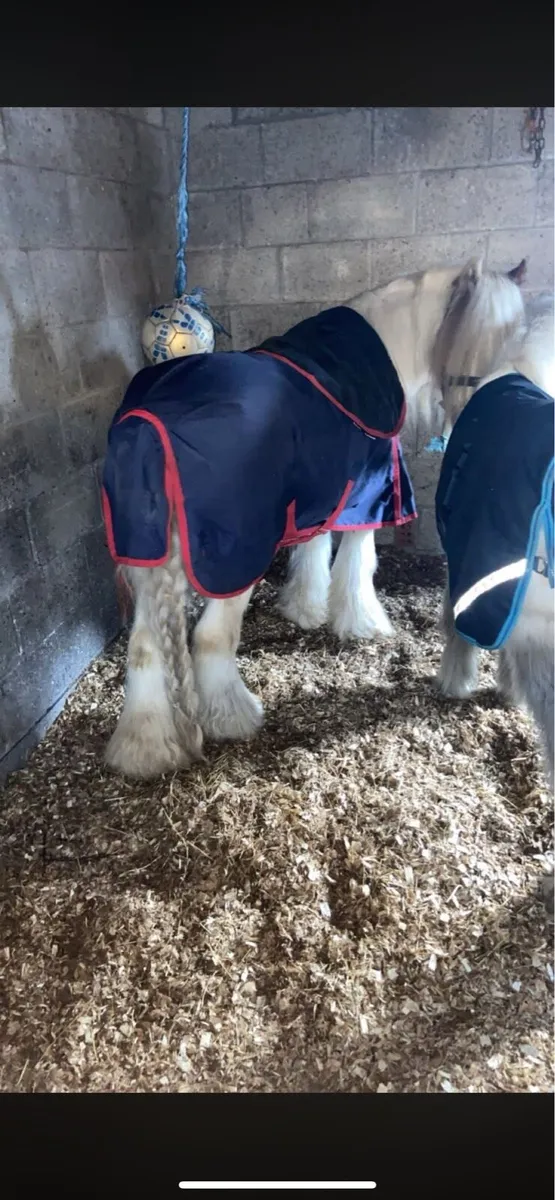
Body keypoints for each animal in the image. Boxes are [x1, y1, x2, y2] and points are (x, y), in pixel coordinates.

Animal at [102, 257, 526, 780]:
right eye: (473, 335)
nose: (485, 411)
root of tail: (149, 422)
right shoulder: (365, 493)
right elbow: (356, 563)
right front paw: (361, 622)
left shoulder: (317, 493)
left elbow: (313, 550)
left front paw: (305, 609)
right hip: (232, 559)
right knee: (209, 638)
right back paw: (234, 717)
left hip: (147, 558)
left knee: (144, 648)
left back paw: (143, 749)